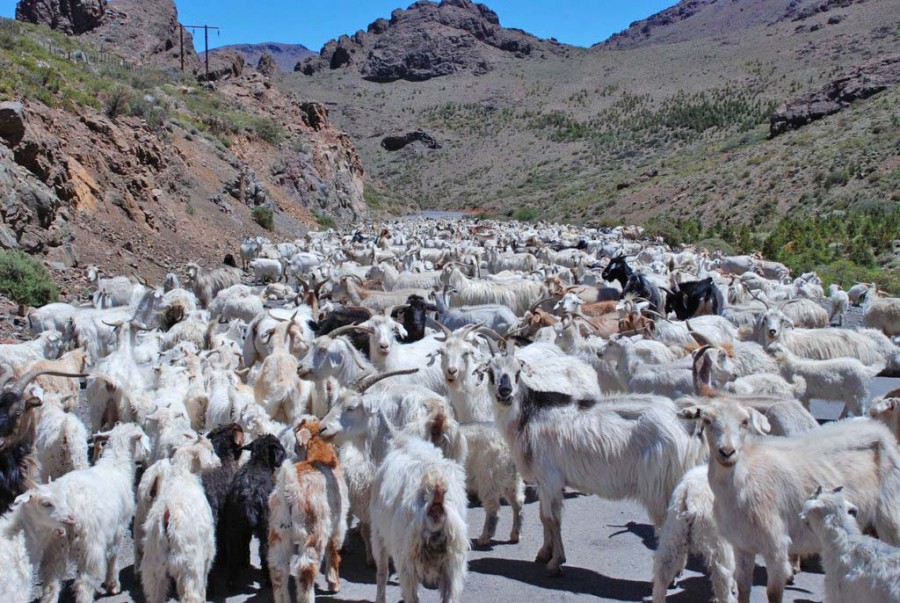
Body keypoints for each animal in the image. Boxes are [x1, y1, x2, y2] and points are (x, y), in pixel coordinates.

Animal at [219, 434, 284, 584]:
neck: (258, 462)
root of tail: (249, 497)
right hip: (265, 526)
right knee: (264, 551)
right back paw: (268, 579)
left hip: (235, 526)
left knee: (234, 551)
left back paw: (232, 580)